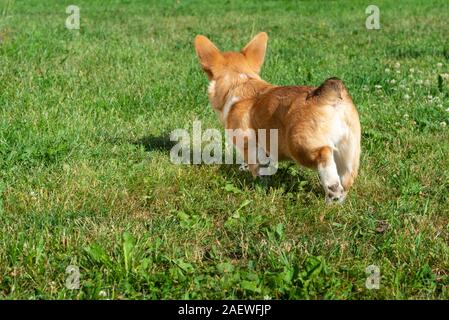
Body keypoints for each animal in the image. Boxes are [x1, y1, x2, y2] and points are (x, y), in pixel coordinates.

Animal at [193, 31, 360, 202]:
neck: (241, 83)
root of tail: (329, 96)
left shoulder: (248, 145)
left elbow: (256, 167)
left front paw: (257, 186)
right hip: (350, 150)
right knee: (347, 178)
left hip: (299, 146)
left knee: (324, 156)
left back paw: (332, 191)